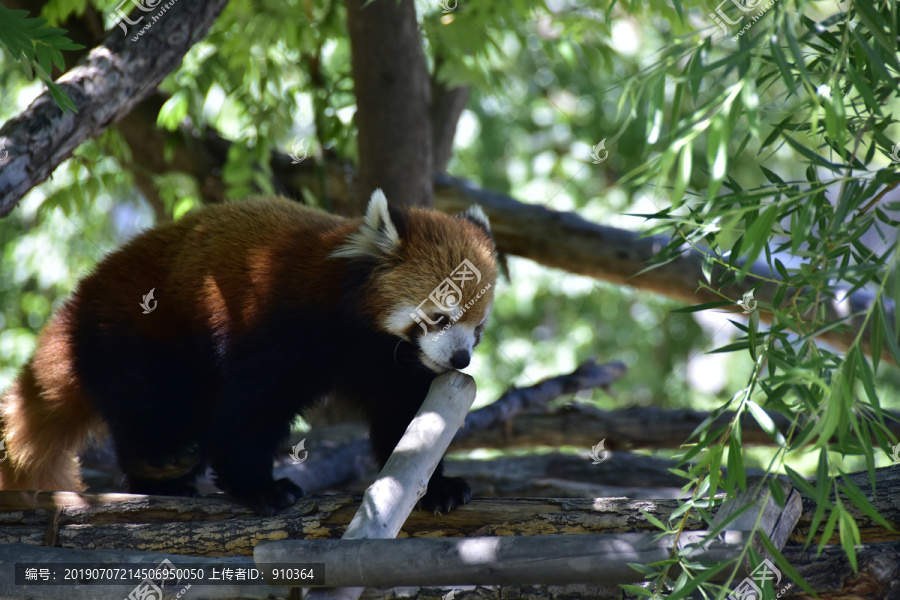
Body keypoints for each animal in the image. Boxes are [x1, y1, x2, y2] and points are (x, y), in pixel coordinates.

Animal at [0, 190, 500, 512]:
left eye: (478, 327)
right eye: (440, 317)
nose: (460, 359)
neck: (355, 326)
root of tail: (82, 295)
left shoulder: (388, 361)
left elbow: (404, 419)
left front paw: (434, 486)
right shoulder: (279, 324)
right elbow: (252, 407)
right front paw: (257, 487)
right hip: (138, 329)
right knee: (149, 404)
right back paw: (161, 469)